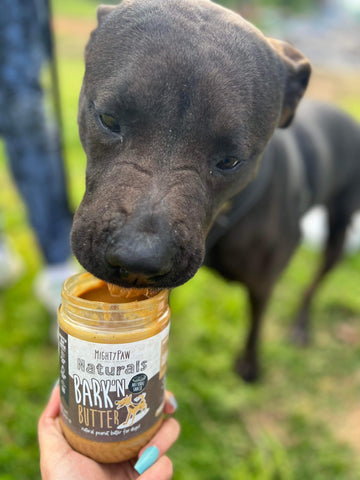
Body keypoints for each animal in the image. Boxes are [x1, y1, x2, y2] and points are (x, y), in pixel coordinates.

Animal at [71, 0, 360, 382]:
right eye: (108, 120)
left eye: (230, 161)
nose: (138, 259)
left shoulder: (266, 278)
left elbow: (257, 317)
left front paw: (249, 365)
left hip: (339, 227)